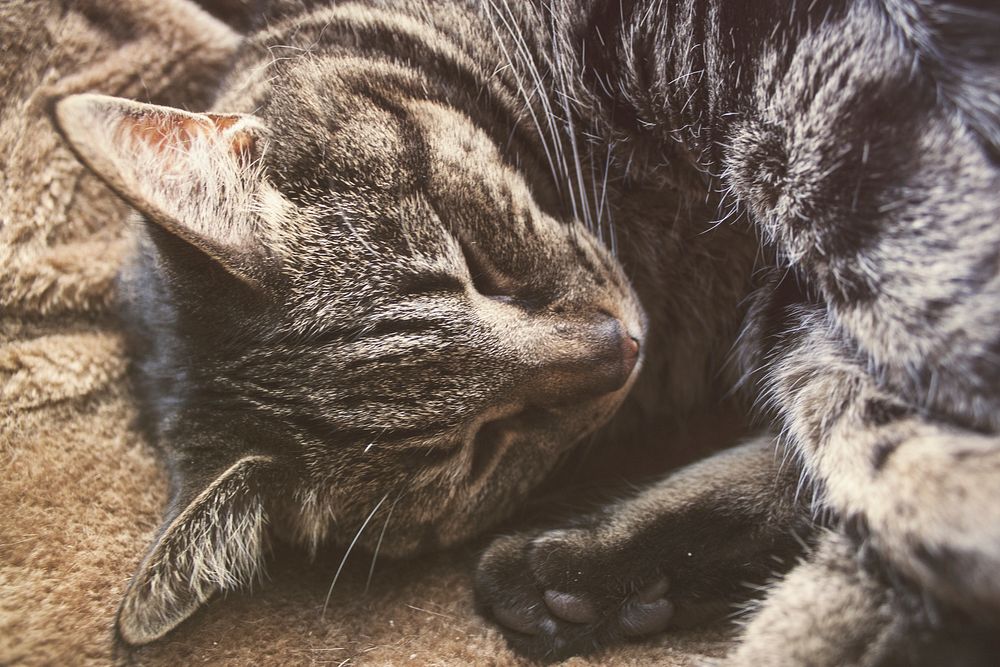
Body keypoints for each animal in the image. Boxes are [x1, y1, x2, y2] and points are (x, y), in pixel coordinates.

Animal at [52, 0, 1000, 664]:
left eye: (473, 263)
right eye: (483, 446)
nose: (618, 350)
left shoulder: (806, 85)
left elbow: (920, 289)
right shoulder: (795, 320)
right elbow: (841, 431)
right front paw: (599, 570)